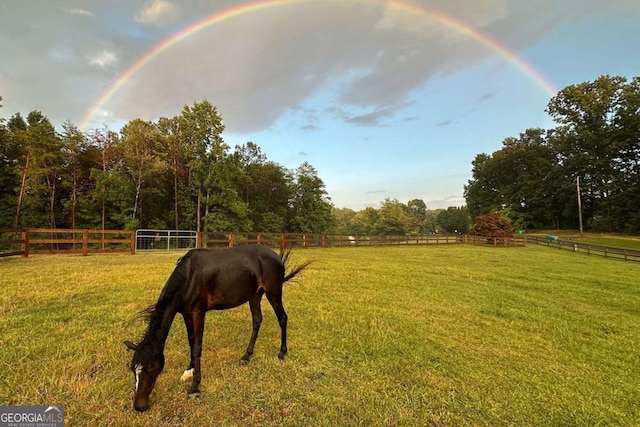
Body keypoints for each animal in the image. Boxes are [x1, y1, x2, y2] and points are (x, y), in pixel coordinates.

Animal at [124, 246, 310, 412]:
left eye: (150, 370)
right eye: (133, 369)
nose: (139, 407)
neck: (189, 277)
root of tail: (276, 256)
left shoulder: (198, 313)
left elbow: (197, 347)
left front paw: (195, 388)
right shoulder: (186, 314)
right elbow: (191, 341)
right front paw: (188, 371)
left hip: (273, 293)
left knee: (282, 318)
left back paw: (281, 353)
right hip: (255, 295)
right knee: (257, 321)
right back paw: (246, 356)